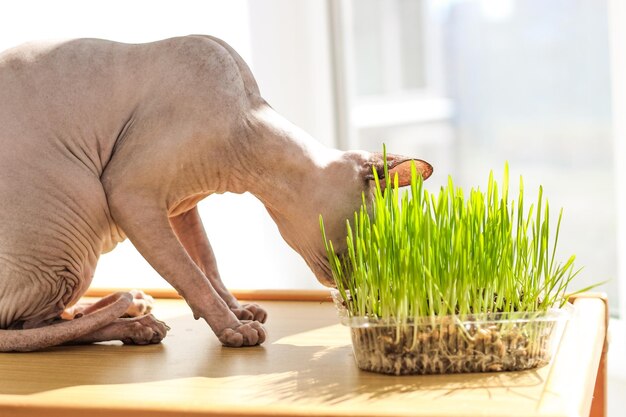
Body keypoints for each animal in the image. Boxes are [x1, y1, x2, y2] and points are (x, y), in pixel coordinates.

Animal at [0, 35, 428, 350]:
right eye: (354, 250)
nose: (356, 290)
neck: (248, 120)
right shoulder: (129, 195)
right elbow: (191, 275)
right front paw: (231, 327)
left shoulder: (180, 207)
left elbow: (207, 261)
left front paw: (237, 309)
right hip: (74, 219)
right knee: (32, 329)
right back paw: (138, 324)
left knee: (51, 321)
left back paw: (128, 305)